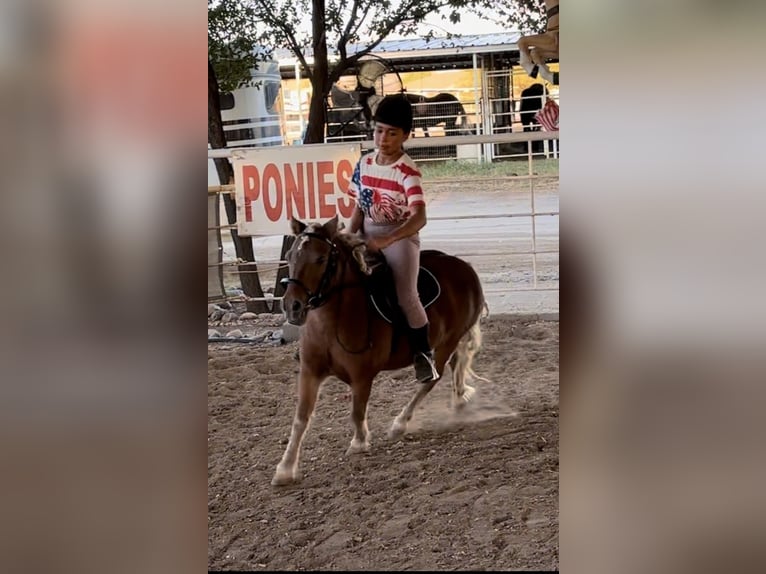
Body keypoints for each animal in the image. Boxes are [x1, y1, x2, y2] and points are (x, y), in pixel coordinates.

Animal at [274, 218, 486, 488]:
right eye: (290, 256)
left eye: (321, 259)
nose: (293, 306)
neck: (332, 322)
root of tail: (465, 268)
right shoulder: (310, 372)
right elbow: (301, 419)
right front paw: (285, 468)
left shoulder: (362, 376)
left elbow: (357, 412)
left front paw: (359, 442)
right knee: (457, 364)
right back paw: (459, 398)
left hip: (446, 343)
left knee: (432, 379)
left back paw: (400, 423)